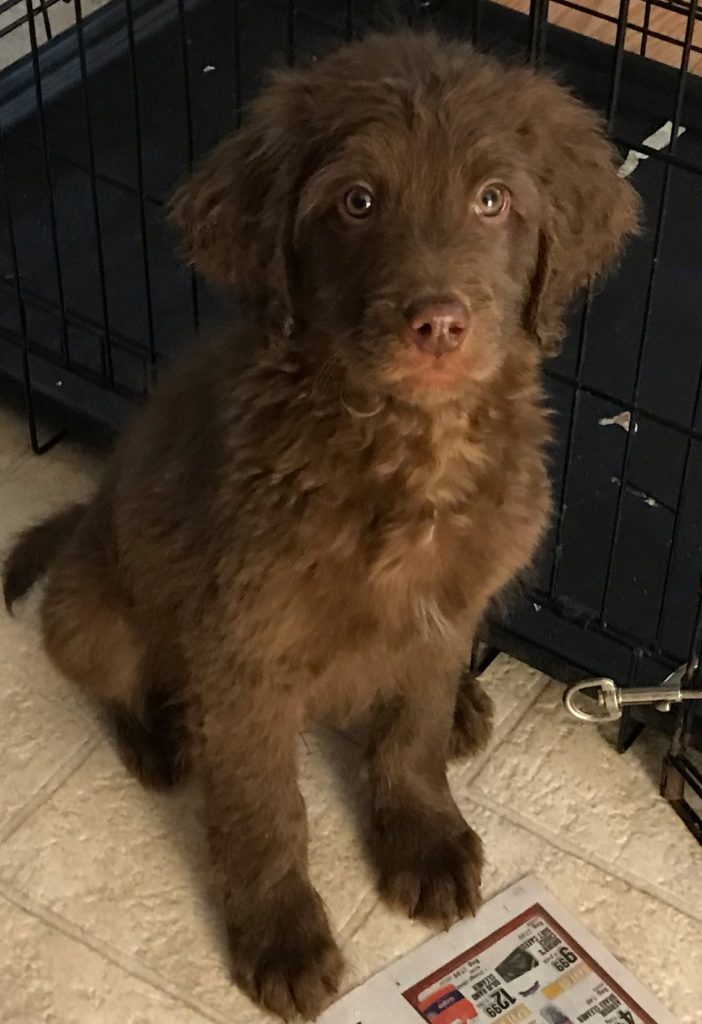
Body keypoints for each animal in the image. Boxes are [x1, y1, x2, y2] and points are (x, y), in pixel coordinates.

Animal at [2, 29, 638, 1015]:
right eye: (357, 201)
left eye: (492, 199)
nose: (437, 323)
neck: (407, 450)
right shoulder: (243, 653)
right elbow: (266, 809)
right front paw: (282, 937)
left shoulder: (448, 601)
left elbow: (410, 731)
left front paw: (423, 833)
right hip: (92, 614)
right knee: (112, 674)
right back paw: (159, 735)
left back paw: (464, 706)